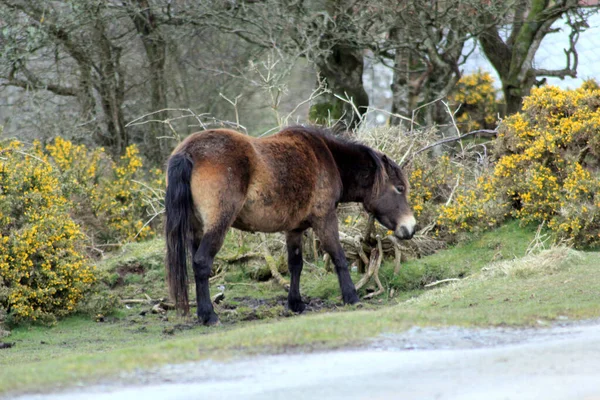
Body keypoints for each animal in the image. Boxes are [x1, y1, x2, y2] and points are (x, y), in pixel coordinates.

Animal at [165, 125, 418, 324]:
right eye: (399, 188)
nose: (411, 227)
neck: (327, 157)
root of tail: (188, 152)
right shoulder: (325, 218)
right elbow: (338, 256)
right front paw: (351, 297)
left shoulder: (294, 228)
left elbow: (295, 264)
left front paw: (295, 303)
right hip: (218, 225)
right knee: (202, 262)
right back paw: (209, 316)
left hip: (197, 229)